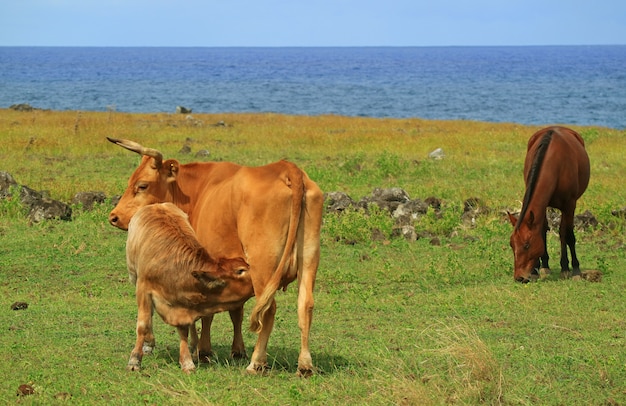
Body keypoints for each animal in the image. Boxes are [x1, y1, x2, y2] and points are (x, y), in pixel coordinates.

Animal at [125, 203, 252, 374]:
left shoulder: (184, 302)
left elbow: (184, 328)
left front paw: (187, 361)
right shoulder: (143, 289)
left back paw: (194, 345)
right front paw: (135, 359)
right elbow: (143, 325)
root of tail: (157, 205)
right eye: (240, 270)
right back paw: (149, 343)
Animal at [508, 127, 588, 282]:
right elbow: (542, 230)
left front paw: (573, 269)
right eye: (512, 245)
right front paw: (539, 268)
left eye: (527, 245)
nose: (519, 277)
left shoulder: (570, 205)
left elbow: (567, 234)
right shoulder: (543, 206)